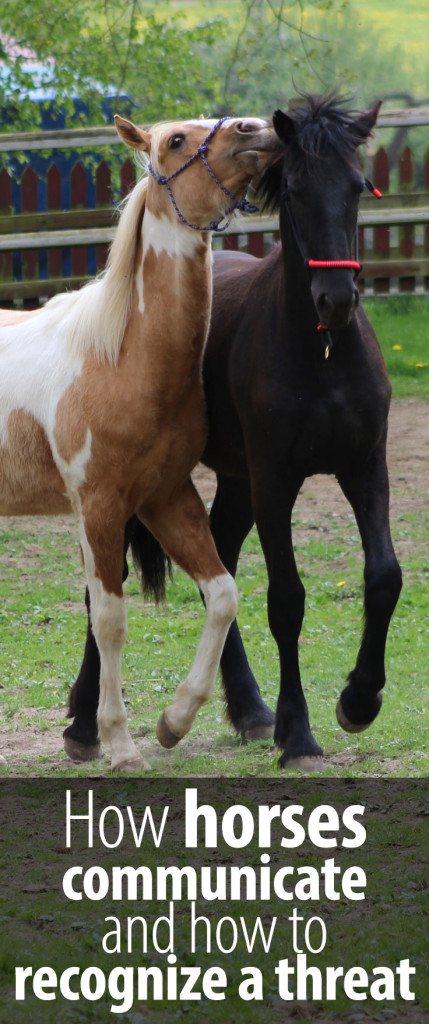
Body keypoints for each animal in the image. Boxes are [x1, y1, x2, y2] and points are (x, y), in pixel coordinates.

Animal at [0, 112, 276, 770]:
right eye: (176, 140)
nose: (257, 129)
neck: (122, 358)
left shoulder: (166, 498)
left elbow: (222, 594)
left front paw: (174, 721)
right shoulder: (100, 508)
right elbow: (110, 620)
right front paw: (120, 744)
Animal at [63, 94, 403, 770]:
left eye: (358, 188)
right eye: (294, 190)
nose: (335, 300)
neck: (322, 353)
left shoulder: (364, 467)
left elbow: (383, 577)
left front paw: (358, 701)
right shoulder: (275, 481)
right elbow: (287, 599)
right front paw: (298, 734)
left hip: (235, 483)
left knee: (213, 570)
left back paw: (248, 709)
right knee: (103, 592)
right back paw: (85, 725)